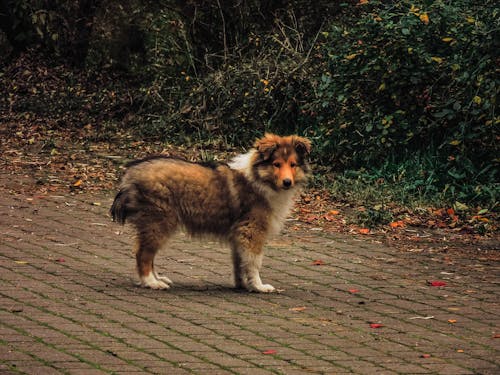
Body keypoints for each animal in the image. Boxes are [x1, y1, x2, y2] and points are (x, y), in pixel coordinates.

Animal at [111, 134, 310, 292]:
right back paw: (151, 282)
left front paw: (242, 285)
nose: (287, 182)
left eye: (293, 165)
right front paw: (259, 286)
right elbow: (254, 262)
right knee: (143, 254)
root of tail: (131, 172)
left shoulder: (239, 234)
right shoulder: (252, 230)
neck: (259, 178)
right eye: (276, 164)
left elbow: (240, 261)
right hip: (159, 222)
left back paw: (158, 278)